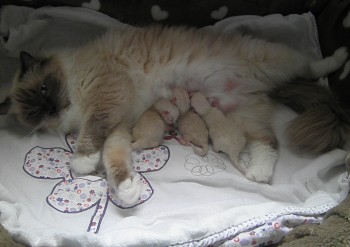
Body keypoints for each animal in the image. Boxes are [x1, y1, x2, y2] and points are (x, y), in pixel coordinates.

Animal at [0, 24, 348, 203]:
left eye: (45, 89)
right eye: (34, 112)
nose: (50, 109)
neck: (75, 88)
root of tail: (260, 88)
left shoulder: (105, 101)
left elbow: (91, 137)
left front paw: (82, 163)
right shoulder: (119, 126)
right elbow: (115, 160)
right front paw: (128, 190)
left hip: (273, 58)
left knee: (310, 65)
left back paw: (340, 58)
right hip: (244, 116)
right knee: (268, 144)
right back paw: (258, 173)